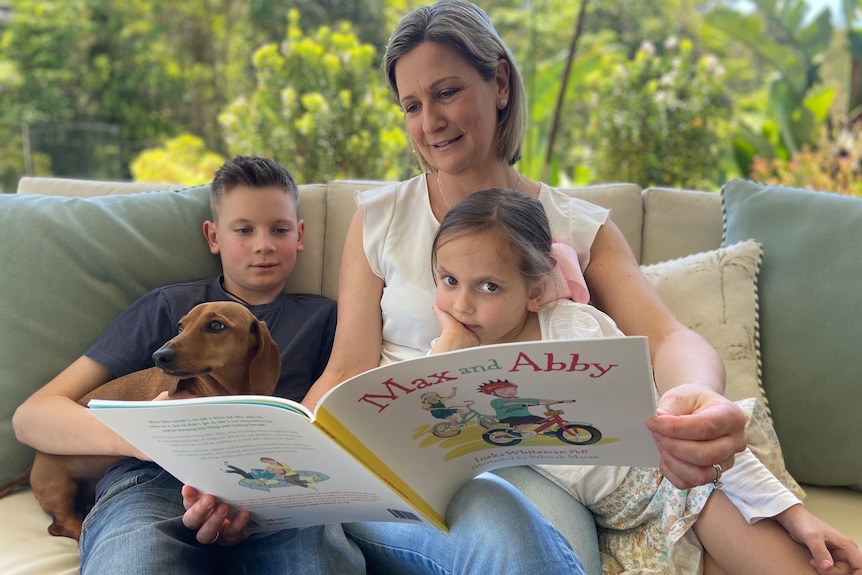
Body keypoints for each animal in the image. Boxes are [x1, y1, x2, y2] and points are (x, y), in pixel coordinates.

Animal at [0, 300, 282, 544]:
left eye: (216, 325)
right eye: (181, 326)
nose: (159, 356)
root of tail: (33, 462)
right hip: (59, 487)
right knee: (59, 525)